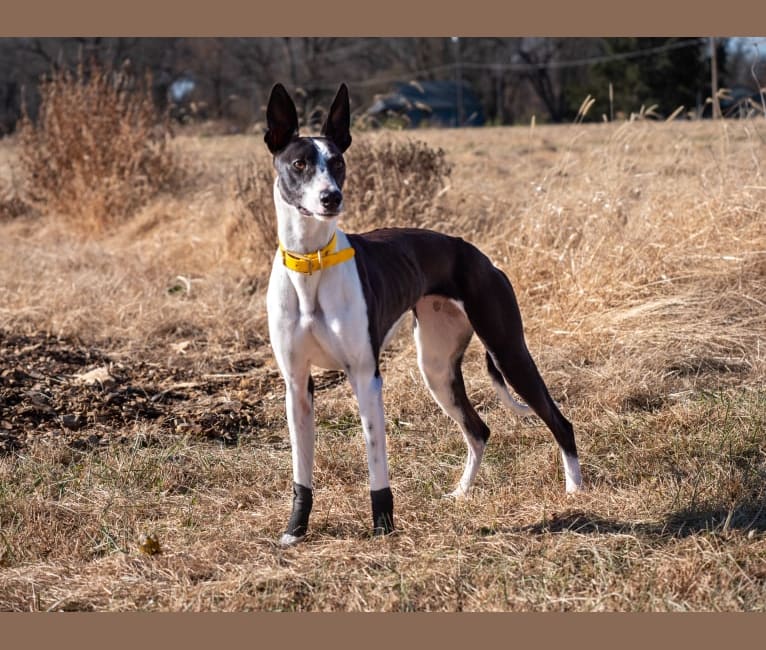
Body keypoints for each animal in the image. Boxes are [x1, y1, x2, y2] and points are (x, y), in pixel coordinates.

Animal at [264, 82, 584, 548]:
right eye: (300, 163)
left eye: (338, 162)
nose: (331, 198)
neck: (311, 264)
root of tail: (478, 256)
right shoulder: (296, 386)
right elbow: (301, 472)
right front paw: (294, 531)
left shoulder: (366, 378)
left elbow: (376, 463)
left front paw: (382, 527)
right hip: (436, 367)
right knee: (479, 430)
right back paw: (462, 492)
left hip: (508, 351)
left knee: (559, 421)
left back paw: (576, 489)